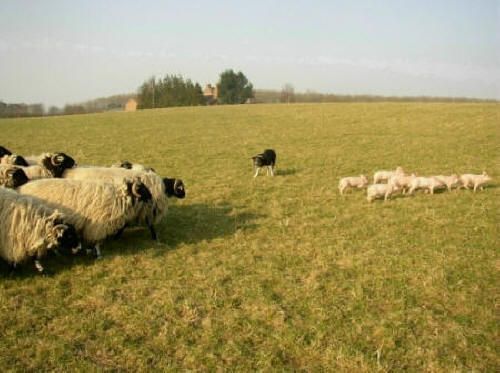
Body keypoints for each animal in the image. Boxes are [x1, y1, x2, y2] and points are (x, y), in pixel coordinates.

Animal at [17, 177, 151, 258]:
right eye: (142, 188)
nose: (151, 197)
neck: (118, 197)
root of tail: (21, 188)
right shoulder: (95, 226)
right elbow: (96, 242)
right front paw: (97, 254)